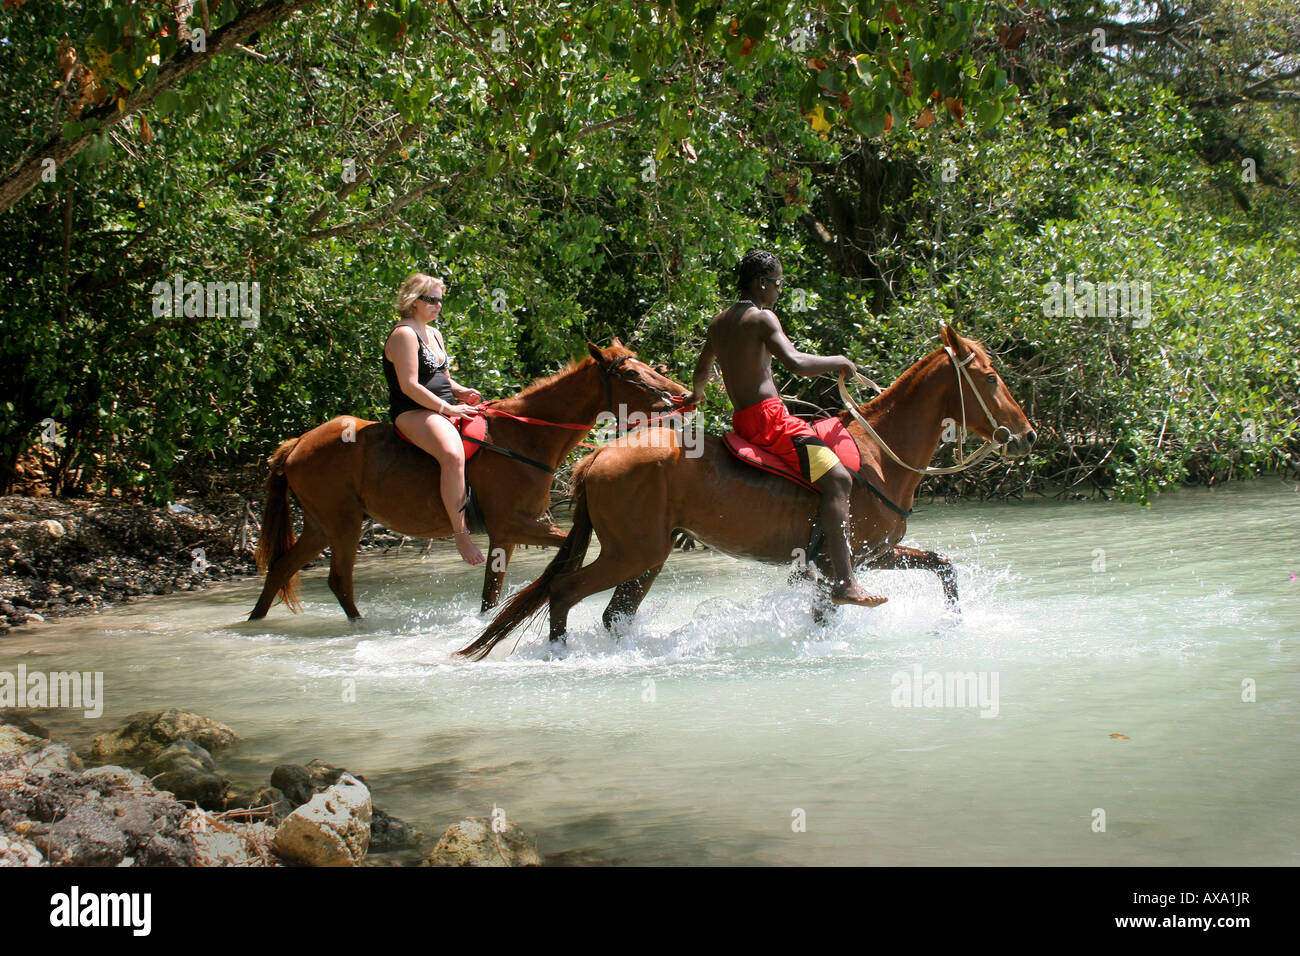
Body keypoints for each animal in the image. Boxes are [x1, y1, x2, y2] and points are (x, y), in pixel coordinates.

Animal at [248, 341, 690, 621]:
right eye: (631, 373)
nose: (683, 395)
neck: (524, 435)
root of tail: (298, 443)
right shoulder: (510, 525)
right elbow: (560, 548)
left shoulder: (506, 535)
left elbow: (490, 596)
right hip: (343, 525)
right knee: (338, 581)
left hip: (320, 525)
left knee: (281, 568)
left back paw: (255, 621)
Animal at [458, 325, 1036, 660]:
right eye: (989, 379)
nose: (1027, 435)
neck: (879, 454)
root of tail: (595, 458)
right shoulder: (849, 559)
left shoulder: (863, 556)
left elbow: (943, 566)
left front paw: (953, 625)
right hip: (631, 552)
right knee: (563, 593)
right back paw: (561, 656)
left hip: (649, 554)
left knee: (611, 612)